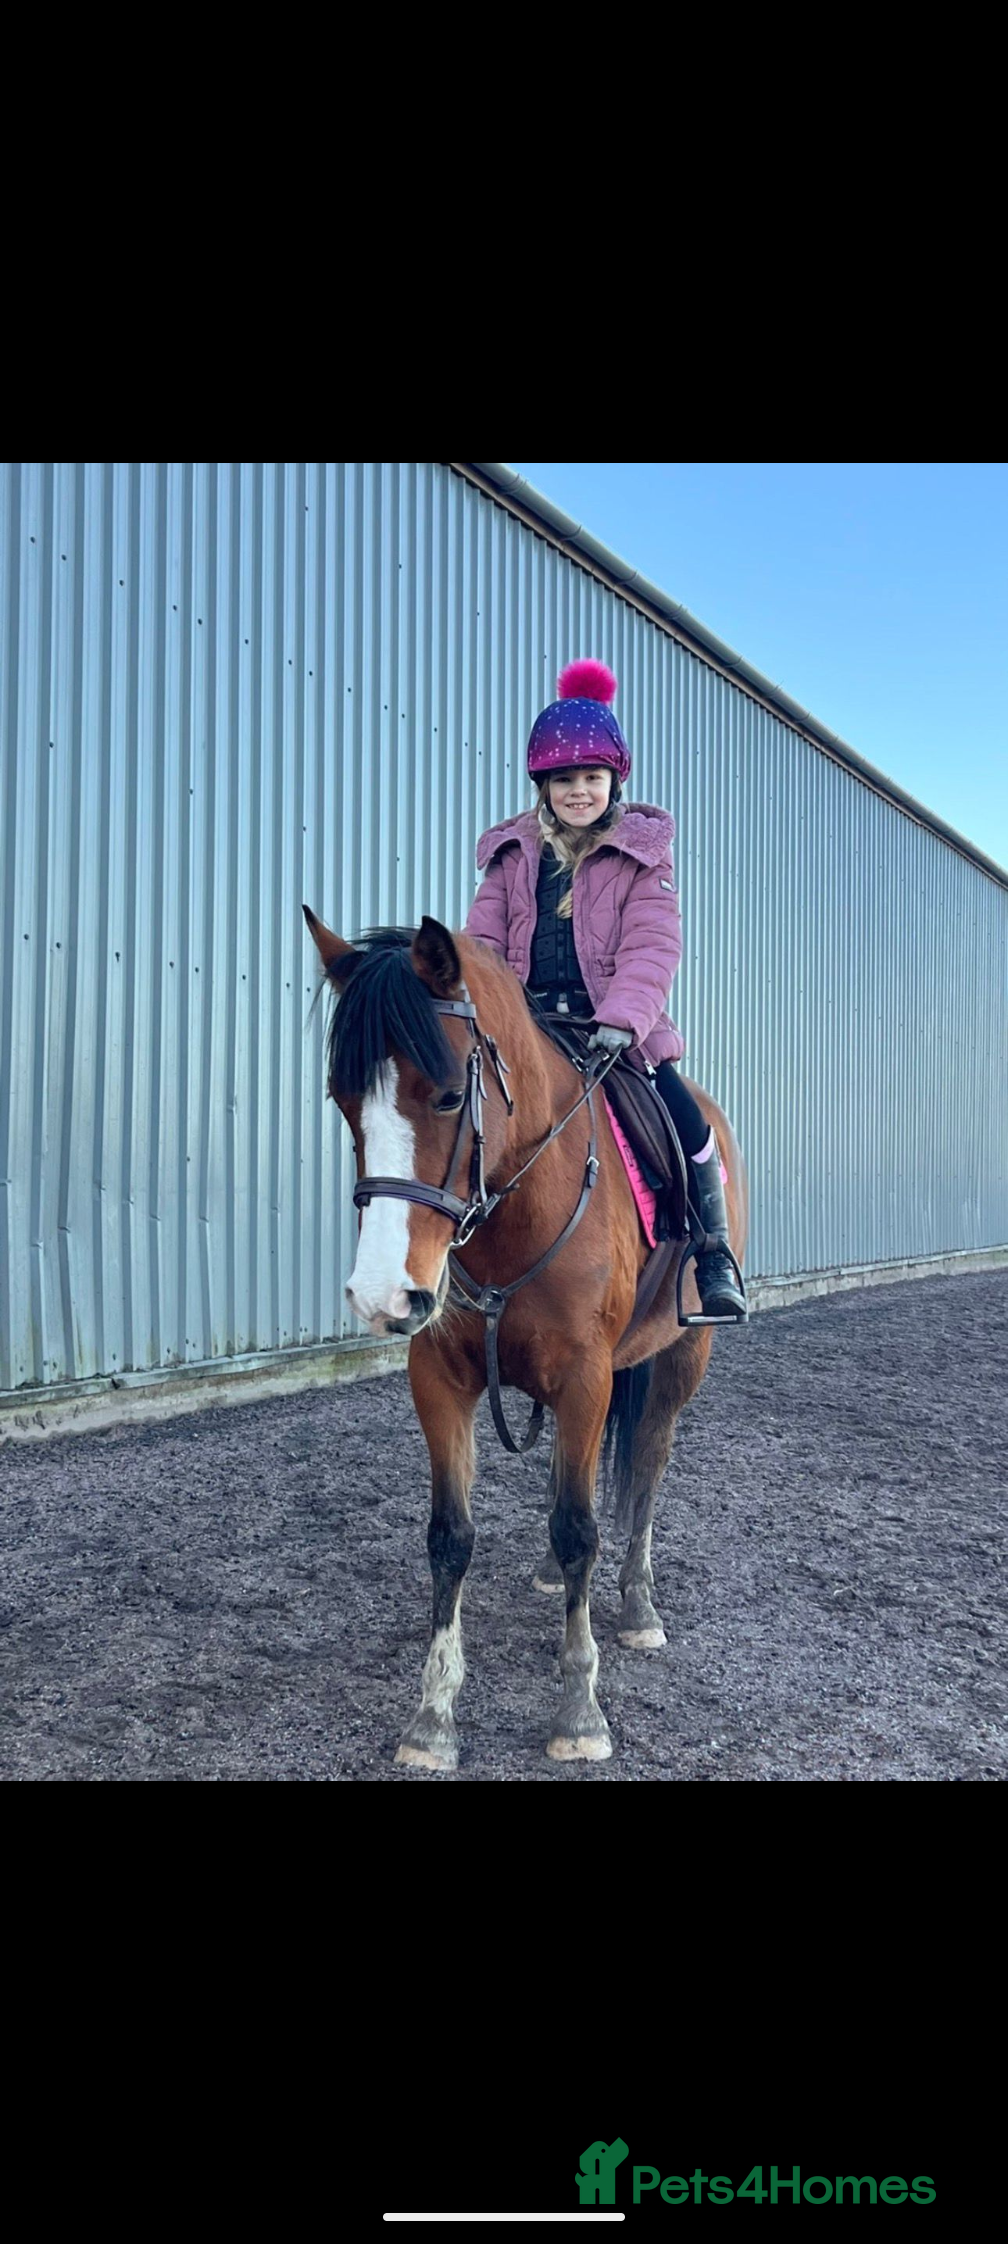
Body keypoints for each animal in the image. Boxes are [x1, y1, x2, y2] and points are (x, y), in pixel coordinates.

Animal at [304, 907, 748, 1771]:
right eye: (342, 1100)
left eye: (448, 1095)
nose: (381, 1295)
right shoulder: (439, 1378)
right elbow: (451, 1536)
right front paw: (433, 1717)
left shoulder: (587, 1379)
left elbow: (582, 1529)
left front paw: (579, 1713)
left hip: (683, 1358)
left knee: (647, 1467)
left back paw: (637, 1607)